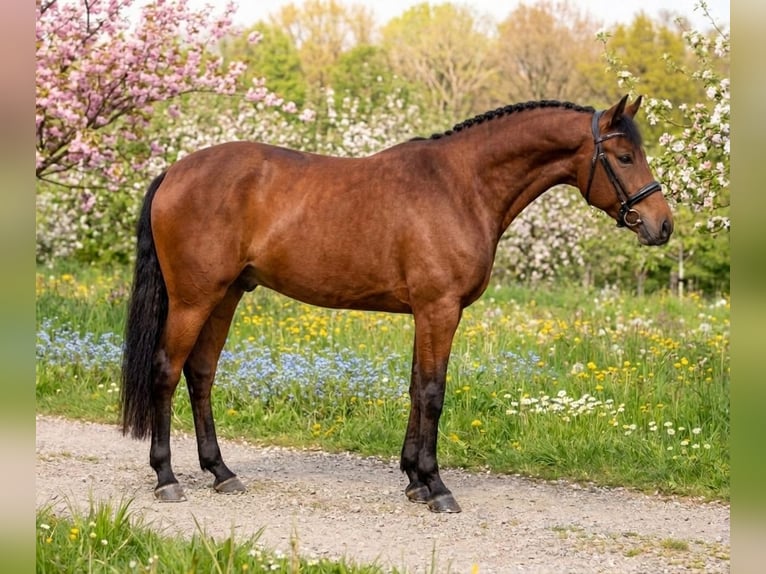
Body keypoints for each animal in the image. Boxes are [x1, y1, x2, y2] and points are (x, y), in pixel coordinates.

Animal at [121, 95, 672, 513]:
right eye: (625, 157)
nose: (661, 224)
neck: (461, 185)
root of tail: (174, 171)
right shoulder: (440, 309)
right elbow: (432, 392)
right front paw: (436, 485)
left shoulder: (426, 313)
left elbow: (414, 388)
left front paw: (413, 480)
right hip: (193, 298)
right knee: (166, 371)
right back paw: (167, 478)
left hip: (227, 295)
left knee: (201, 374)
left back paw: (221, 472)